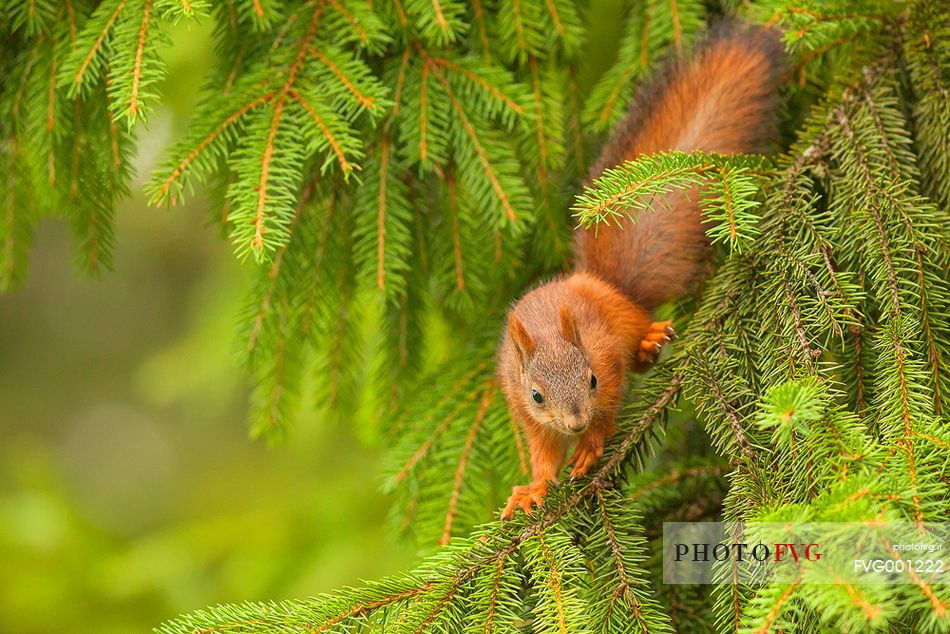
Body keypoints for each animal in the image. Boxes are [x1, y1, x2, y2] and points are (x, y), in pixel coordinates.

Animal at [498, 24, 788, 520]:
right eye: (537, 395)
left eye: (591, 379)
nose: (575, 422)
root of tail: (599, 282)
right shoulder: (523, 408)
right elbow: (542, 453)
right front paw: (533, 490)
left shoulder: (605, 362)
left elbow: (611, 402)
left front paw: (590, 447)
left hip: (622, 316)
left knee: (637, 338)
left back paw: (650, 340)